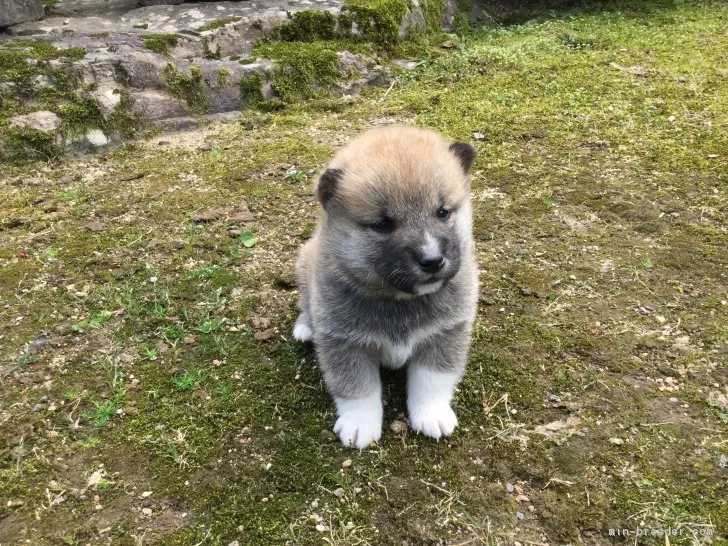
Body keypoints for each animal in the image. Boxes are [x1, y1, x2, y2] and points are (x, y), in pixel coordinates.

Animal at [292, 125, 480, 448]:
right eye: (383, 224)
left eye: (443, 212)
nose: (433, 261)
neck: (399, 300)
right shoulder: (344, 342)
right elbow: (356, 387)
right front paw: (359, 424)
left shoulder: (446, 333)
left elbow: (432, 379)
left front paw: (431, 414)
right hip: (305, 265)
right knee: (305, 302)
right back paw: (305, 327)